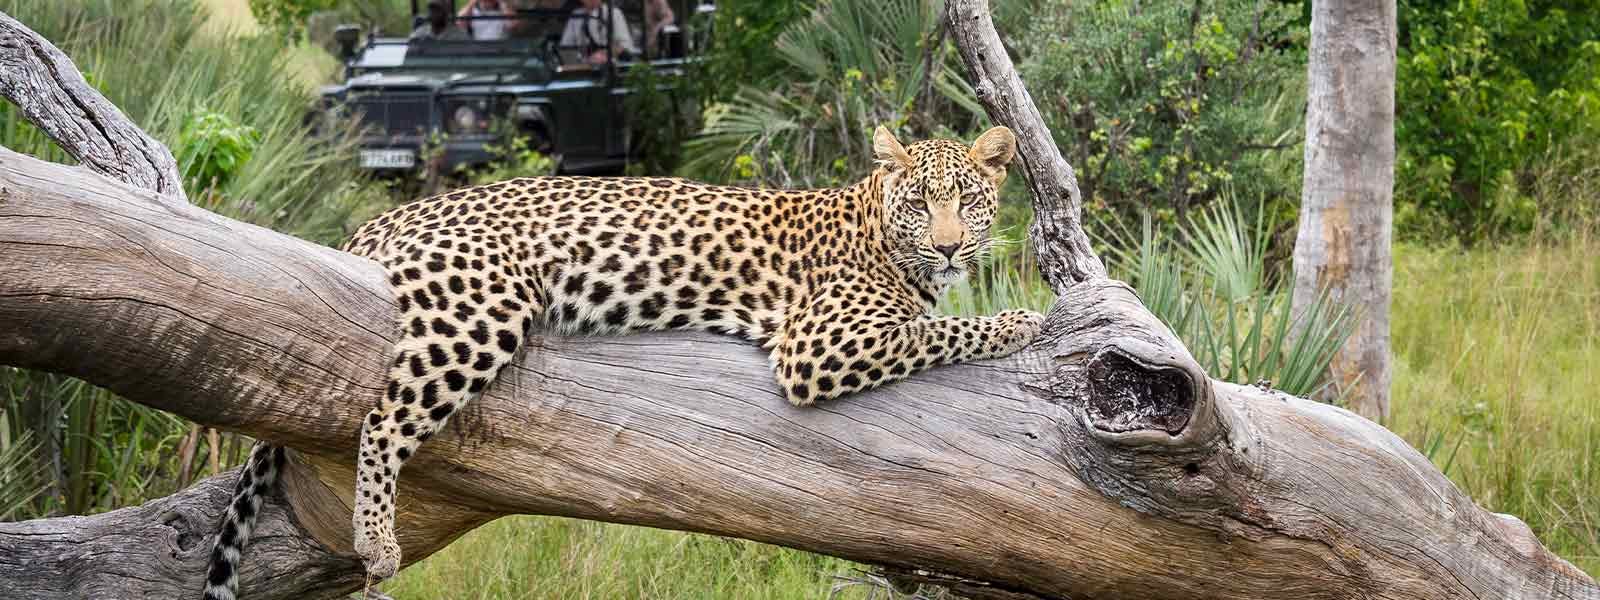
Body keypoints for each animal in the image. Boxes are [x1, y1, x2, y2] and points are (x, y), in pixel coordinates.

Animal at [200, 125, 1044, 600]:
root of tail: (393, 214)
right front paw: (1022, 320)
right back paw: (376, 539)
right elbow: (936, 330)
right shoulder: (820, 344)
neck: (879, 226)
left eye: (969, 200)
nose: (949, 246)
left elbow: (934, 322)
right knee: (381, 417)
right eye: (920, 201)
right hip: (483, 308)